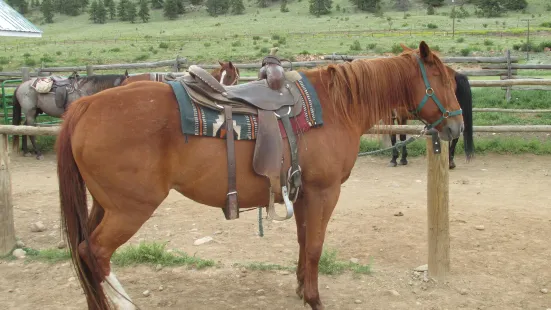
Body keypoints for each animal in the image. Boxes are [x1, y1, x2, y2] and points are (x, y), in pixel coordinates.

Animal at [56, 41, 464, 310]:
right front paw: (314, 298)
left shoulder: (301, 192)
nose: (456, 127)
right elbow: (315, 246)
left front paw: (300, 288)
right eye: (444, 80)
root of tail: (84, 105)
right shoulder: (324, 192)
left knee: (84, 252)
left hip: (104, 205)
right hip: (130, 209)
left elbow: (303, 241)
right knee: (95, 252)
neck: (335, 107)